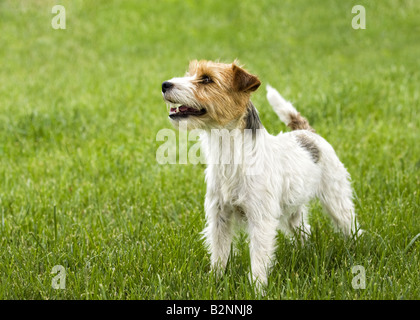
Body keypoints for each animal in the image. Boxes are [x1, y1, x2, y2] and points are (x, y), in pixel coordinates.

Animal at [161, 59, 360, 288]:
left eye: (207, 79)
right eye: (190, 73)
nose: (165, 84)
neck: (230, 153)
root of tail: (307, 133)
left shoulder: (260, 219)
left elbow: (258, 257)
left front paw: (257, 287)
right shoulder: (219, 216)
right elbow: (219, 253)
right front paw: (215, 281)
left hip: (336, 199)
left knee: (350, 224)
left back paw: (358, 247)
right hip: (293, 211)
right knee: (303, 230)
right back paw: (304, 250)